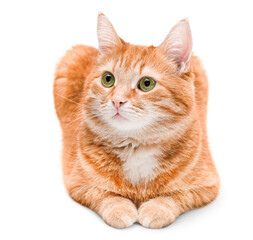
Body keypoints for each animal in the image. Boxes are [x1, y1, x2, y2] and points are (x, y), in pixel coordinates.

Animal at [53, 13, 219, 229]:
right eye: (108, 79)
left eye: (147, 83)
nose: (117, 100)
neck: (136, 147)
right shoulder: (78, 184)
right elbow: (106, 195)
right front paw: (120, 208)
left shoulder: (208, 185)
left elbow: (175, 196)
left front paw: (156, 209)